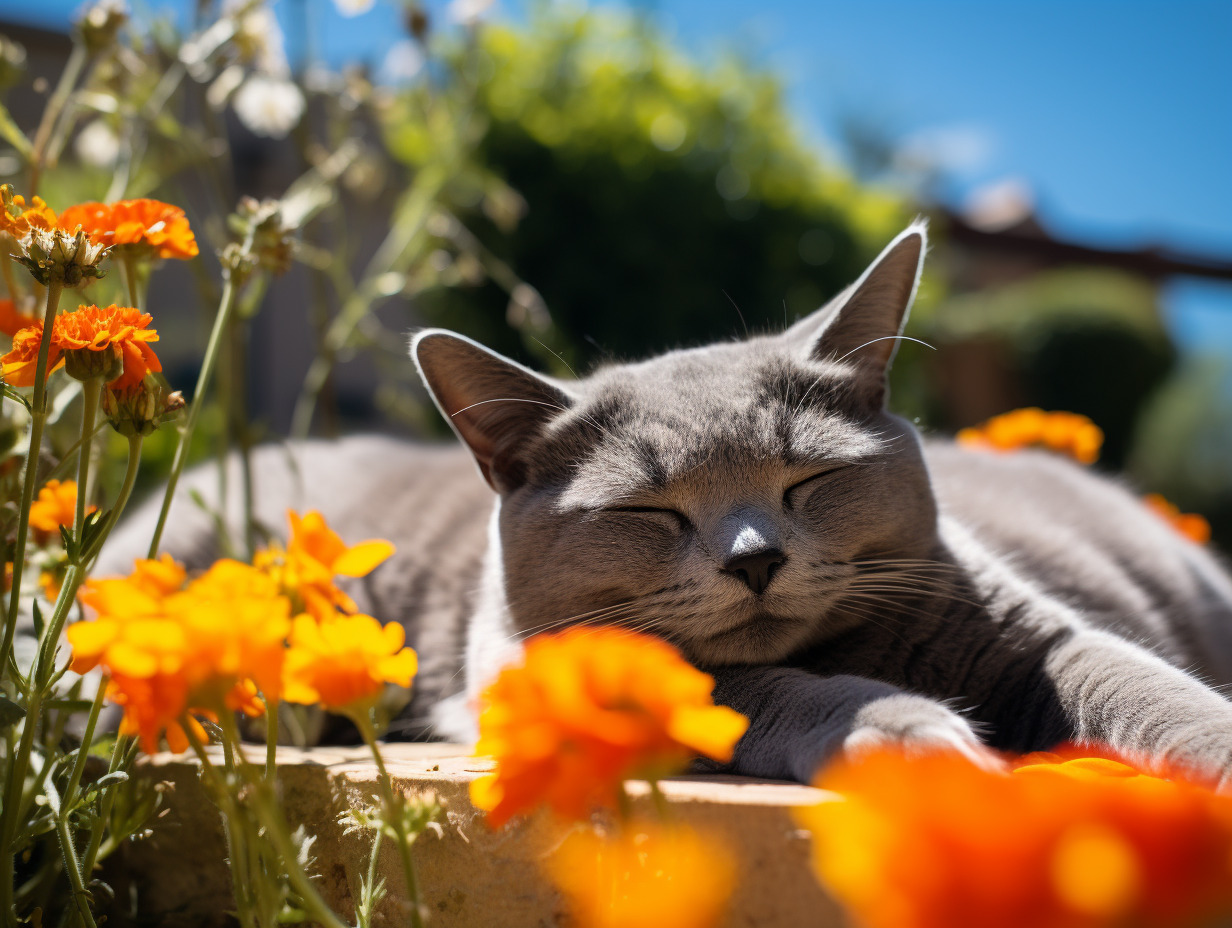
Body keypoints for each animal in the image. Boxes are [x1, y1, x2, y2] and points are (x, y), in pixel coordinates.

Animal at [103, 220, 1232, 783]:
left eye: (806, 478)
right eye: (651, 512)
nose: (754, 556)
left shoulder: (1030, 633)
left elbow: (1149, 688)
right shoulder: (537, 673)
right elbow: (754, 689)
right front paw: (908, 730)